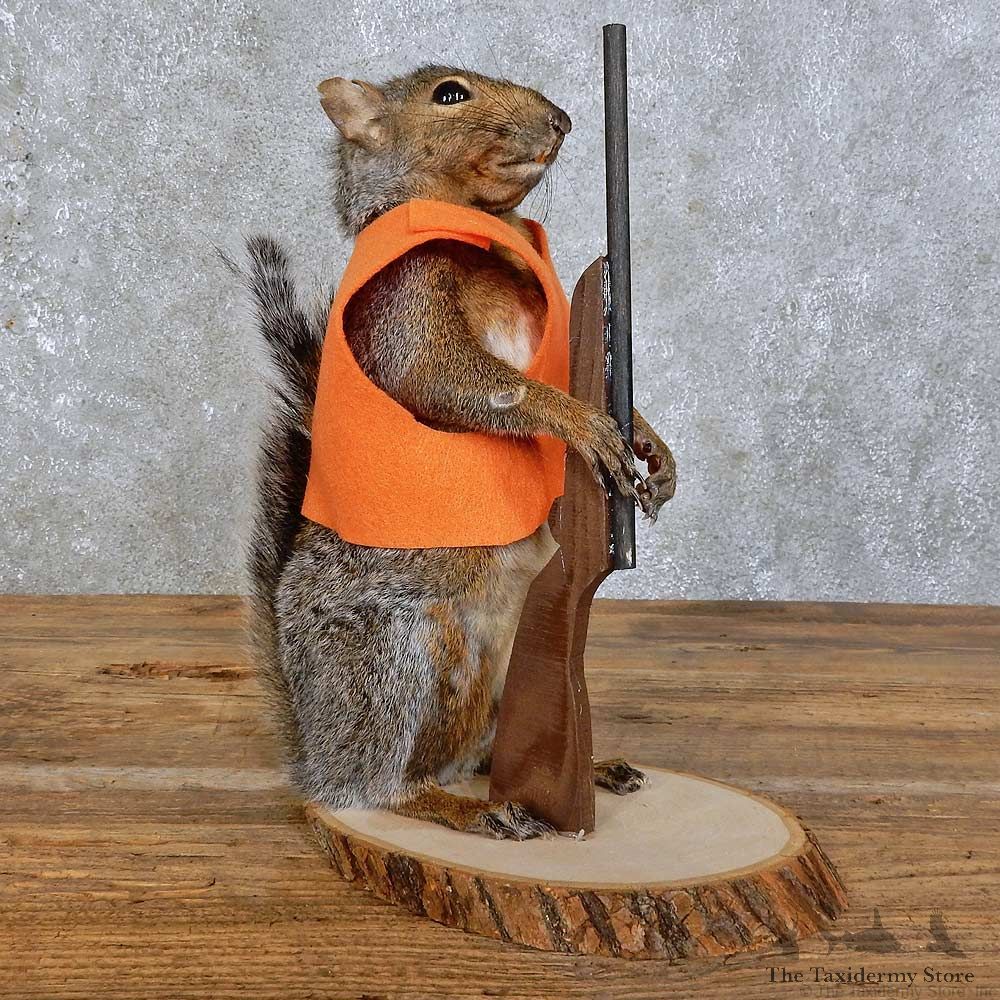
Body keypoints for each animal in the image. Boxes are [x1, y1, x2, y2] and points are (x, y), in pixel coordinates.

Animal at [241, 65, 676, 840]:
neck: (492, 235)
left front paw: (653, 448)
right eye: (450, 94)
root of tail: (315, 754)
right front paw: (585, 424)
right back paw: (463, 809)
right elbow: (450, 379)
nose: (562, 119)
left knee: (474, 754)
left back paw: (579, 774)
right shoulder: (407, 298)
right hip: (396, 661)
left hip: (488, 677)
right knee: (381, 786)